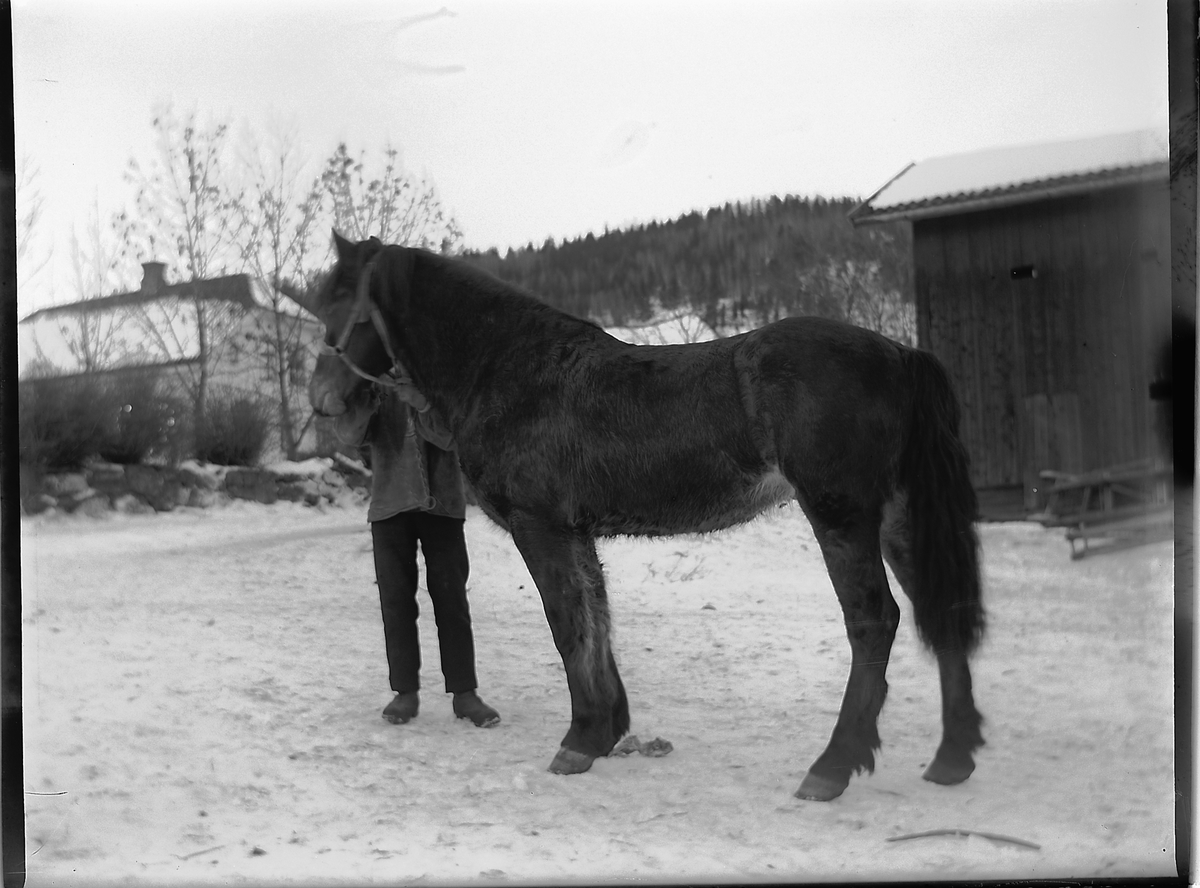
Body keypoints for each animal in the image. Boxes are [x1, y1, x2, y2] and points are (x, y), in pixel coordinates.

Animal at [302, 232, 984, 801]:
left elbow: (568, 625)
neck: (507, 367)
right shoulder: (574, 531)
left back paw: (832, 767)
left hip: (840, 515)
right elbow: (596, 621)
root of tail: (897, 353)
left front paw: (579, 740)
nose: (325, 400)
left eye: (339, 299)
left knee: (873, 622)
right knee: (940, 606)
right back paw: (953, 757)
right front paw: (608, 731)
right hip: (898, 519)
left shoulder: (539, 526)